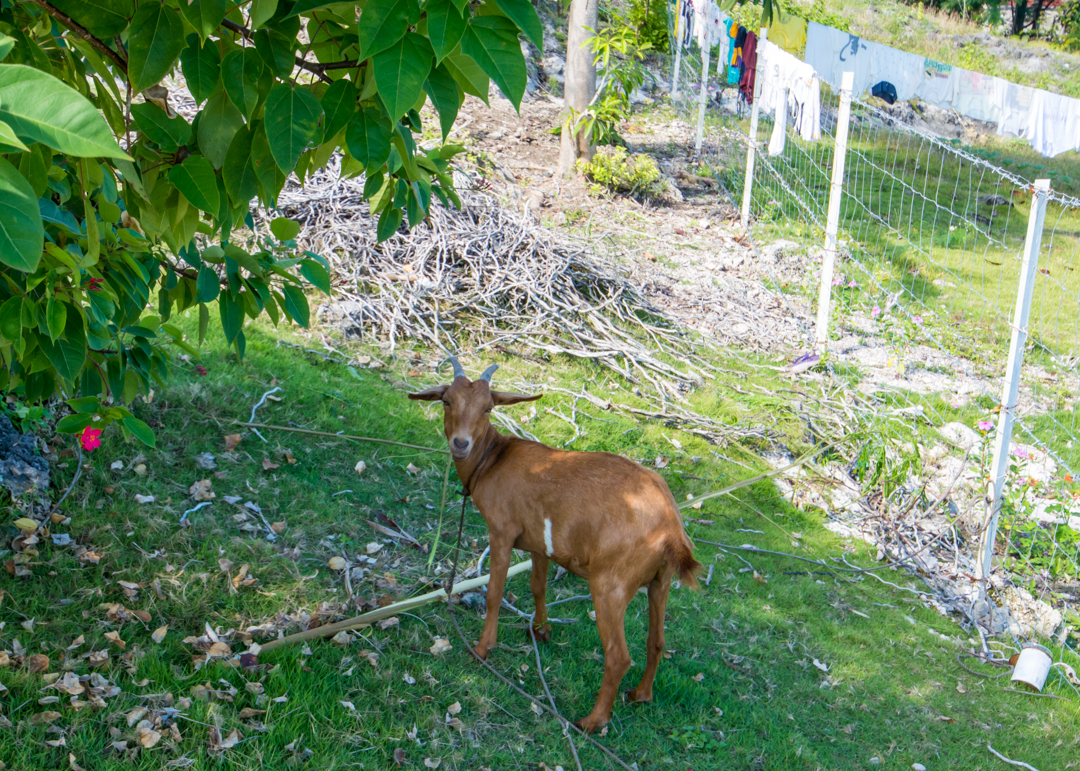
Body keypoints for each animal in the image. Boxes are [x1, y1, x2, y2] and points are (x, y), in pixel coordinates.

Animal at [406, 356, 699, 729]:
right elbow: (537, 585)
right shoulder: (537, 543)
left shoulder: (502, 532)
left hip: (612, 583)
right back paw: (640, 695)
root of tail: (671, 526)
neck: (492, 460)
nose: (461, 444)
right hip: (661, 581)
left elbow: (495, 592)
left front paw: (483, 648)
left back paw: (592, 721)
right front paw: (541, 631)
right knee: (657, 640)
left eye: (488, 408)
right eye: (446, 401)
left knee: (618, 655)